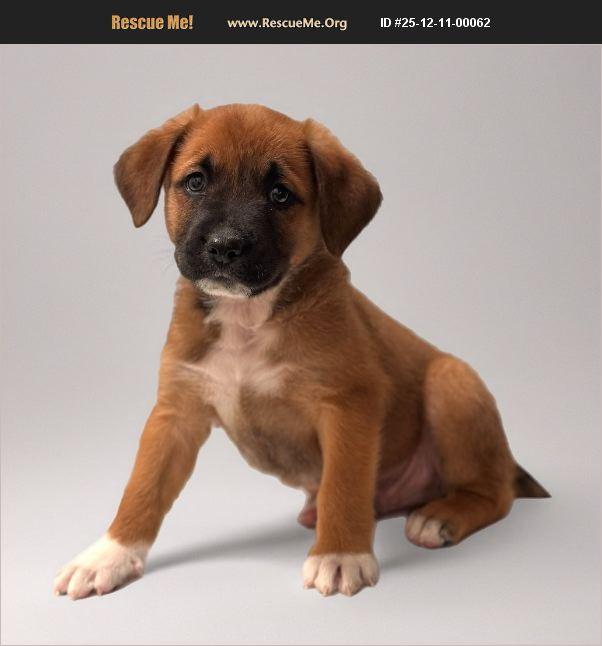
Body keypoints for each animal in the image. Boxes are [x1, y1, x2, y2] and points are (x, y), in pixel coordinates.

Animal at [54, 103, 549, 599]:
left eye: (280, 195)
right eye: (195, 182)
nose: (224, 246)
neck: (248, 318)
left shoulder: (348, 405)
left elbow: (343, 486)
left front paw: (340, 555)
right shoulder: (175, 413)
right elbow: (143, 487)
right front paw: (109, 555)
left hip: (452, 383)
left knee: (495, 491)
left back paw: (441, 516)